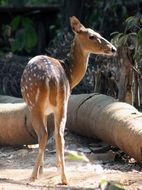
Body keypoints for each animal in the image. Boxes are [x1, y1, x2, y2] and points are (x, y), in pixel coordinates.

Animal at [20, 15, 116, 185]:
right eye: (92, 36)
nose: (113, 49)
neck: (70, 74)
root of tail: (53, 79)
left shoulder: (45, 110)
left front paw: (42, 170)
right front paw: (52, 167)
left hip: (35, 104)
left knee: (44, 135)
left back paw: (33, 176)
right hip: (62, 103)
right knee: (59, 134)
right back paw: (64, 178)